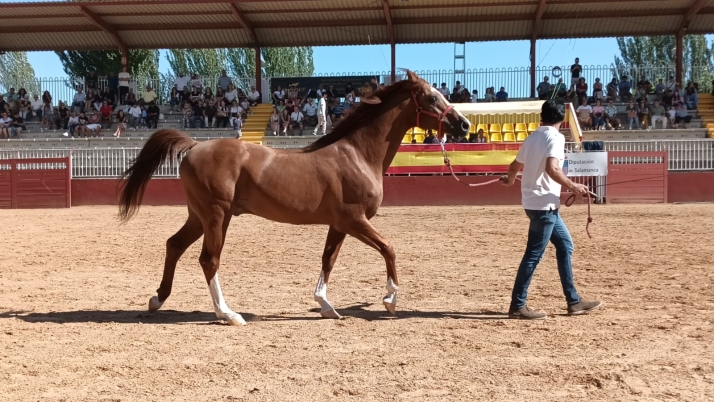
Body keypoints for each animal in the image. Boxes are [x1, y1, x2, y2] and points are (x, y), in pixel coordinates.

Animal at [118, 70, 471, 326]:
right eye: (431, 97)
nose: (464, 124)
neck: (356, 154)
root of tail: (194, 146)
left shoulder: (339, 224)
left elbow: (328, 260)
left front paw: (326, 305)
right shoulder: (355, 220)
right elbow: (389, 249)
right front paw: (390, 301)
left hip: (199, 216)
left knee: (174, 245)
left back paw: (157, 299)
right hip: (217, 215)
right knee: (209, 259)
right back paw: (228, 314)